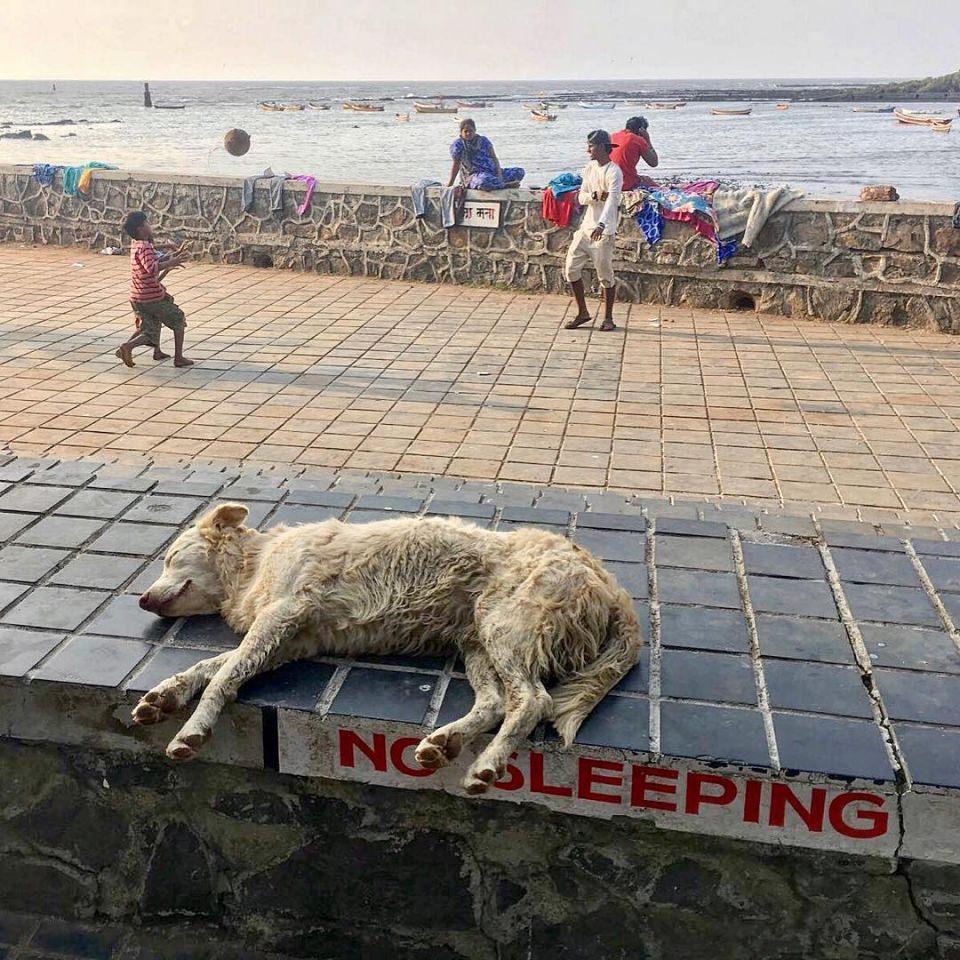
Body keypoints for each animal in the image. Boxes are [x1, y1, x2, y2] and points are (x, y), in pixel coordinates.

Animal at [133, 503, 642, 795]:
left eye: (171, 557)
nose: (141, 600)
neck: (253, 565)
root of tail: (610, 583)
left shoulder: (281, 614)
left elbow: (221, 676)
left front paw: (192, 729)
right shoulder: (284, 639)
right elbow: (212, 665)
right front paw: (165, 696)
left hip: (506, 628)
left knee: (533, 700)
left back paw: (487, 765)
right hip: (479, 643)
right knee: (498, 702)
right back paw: (445, 743)